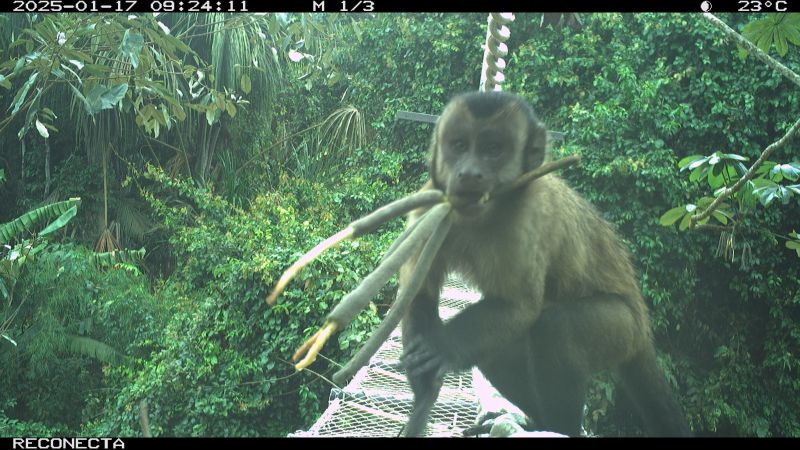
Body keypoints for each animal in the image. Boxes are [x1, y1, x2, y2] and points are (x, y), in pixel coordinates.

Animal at [396, 90, 692, 436]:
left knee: (555, 329)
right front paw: (424, 392)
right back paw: (538, 421)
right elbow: (419, 293)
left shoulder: (527, 217)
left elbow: (520, 307)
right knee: (502, 349)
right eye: (459, 145)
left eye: (493, 150)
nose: (469, 172)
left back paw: (559, 427)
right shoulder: (427, 206)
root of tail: (643, 329)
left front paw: (441, 345)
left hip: (623, 330)